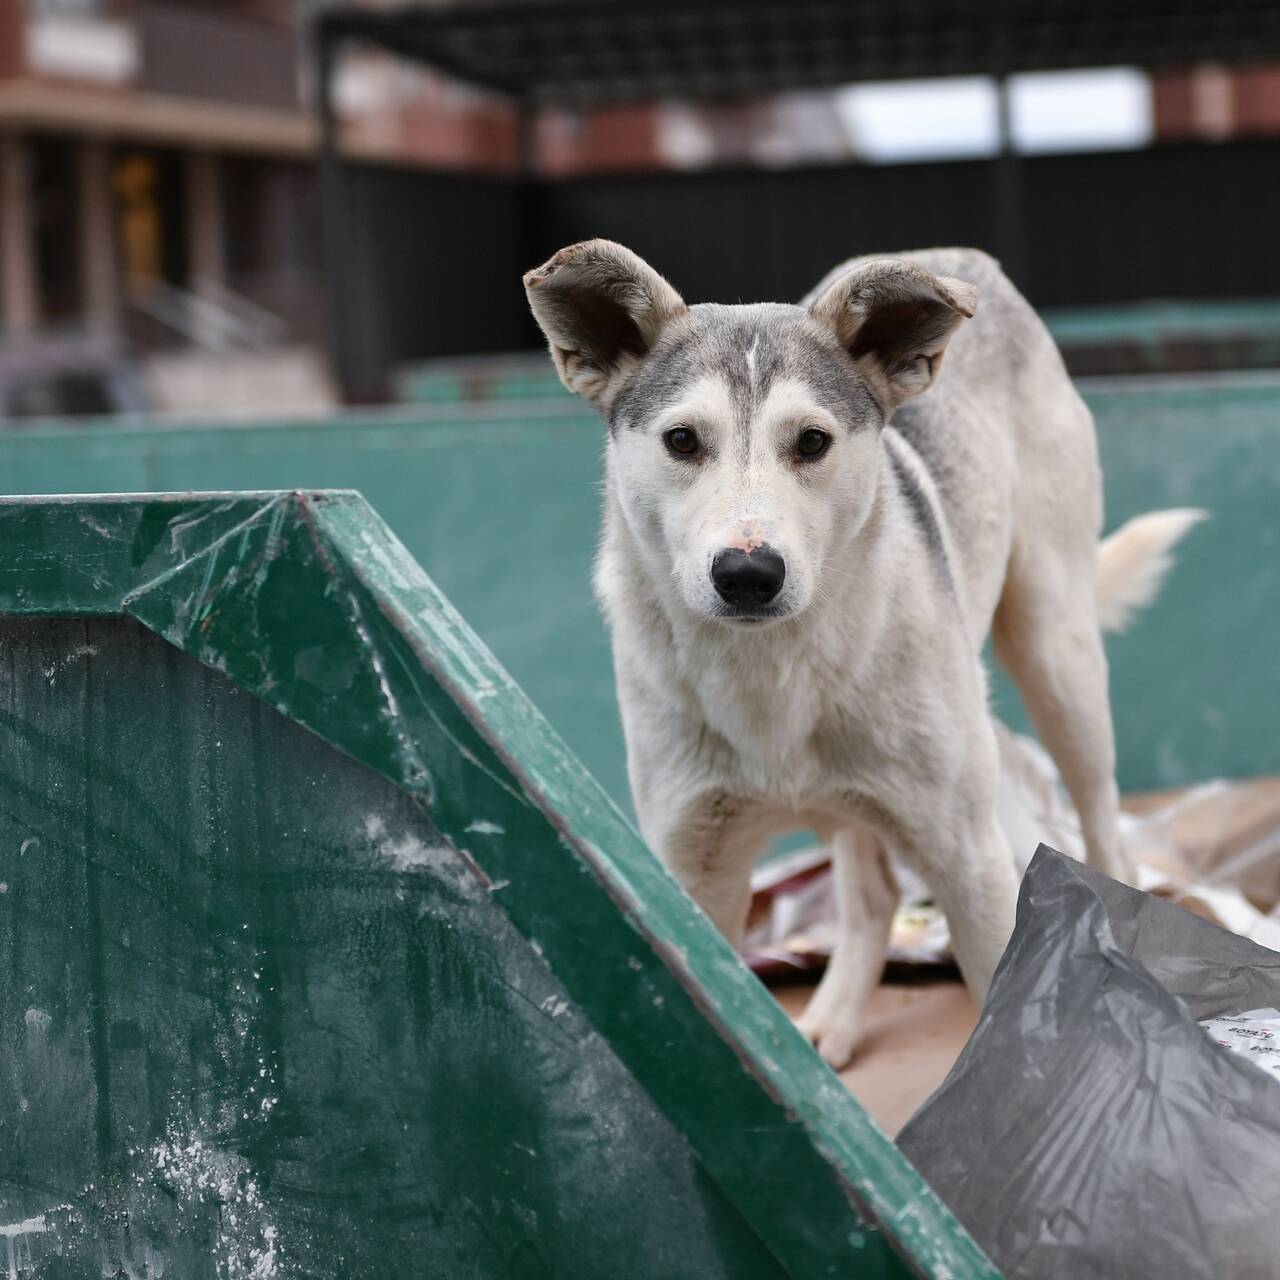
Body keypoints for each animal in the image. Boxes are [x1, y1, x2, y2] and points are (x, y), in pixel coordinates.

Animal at [519, 241, 1198, 1070]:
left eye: (812, 442)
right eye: (682, 441)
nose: (748, 574)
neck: (771, 669)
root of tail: (962, 255)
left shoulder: (968, 860)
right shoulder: (694, 870)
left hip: (1056, 655)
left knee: (1102, 827)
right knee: (872, 895)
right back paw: (833, 1022)